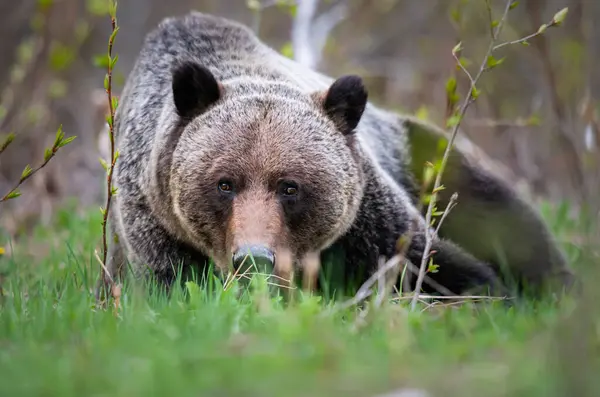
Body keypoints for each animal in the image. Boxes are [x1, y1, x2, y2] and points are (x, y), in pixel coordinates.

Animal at [96, 10, 576, 298]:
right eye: (224, 183)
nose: (254, 258)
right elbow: (174, 287)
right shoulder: (156, 226)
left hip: (425, 156)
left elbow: (440, 264)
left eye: (290, 186)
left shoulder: (368, 215)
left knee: (501, 213)